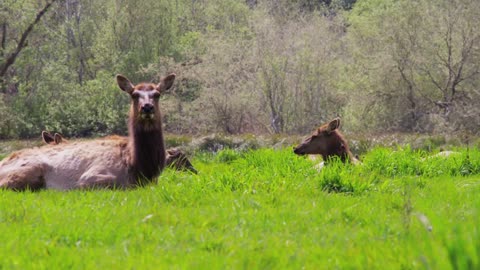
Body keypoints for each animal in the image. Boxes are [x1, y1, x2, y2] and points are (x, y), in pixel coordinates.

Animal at [0, 72, 176, 190]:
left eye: (157, 94)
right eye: (134, 94)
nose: (147, 107)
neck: (139, 167)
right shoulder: (90, 177)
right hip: (31, 169)